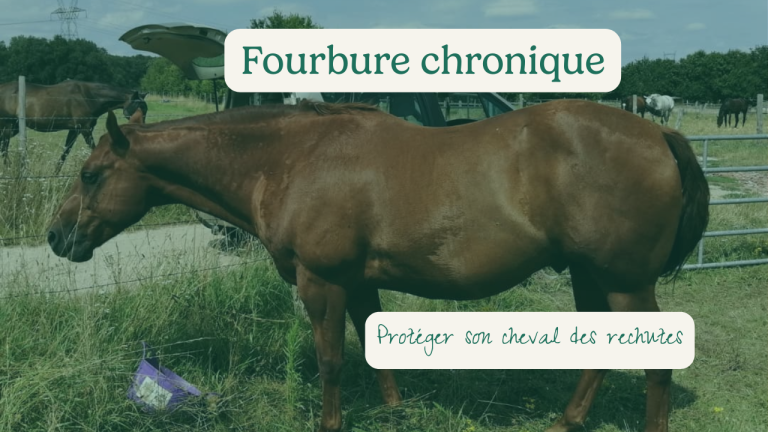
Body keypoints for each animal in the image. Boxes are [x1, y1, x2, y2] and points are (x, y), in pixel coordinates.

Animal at [0, 80, 147, 172]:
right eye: (139, 109)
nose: (143, 130)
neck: (88, 96)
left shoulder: (74, 131)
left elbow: (65, 153)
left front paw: (55, 174)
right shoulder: (85, 130)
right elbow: (93, 149)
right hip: (8, 127)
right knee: (4, 149)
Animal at [47, 100, 709, 432]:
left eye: (91, 174)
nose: (56, 237)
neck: (291, 158)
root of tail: (660, 135)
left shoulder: (322, 282)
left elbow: (333, 362)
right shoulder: (359, 283)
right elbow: (374, 350)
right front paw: (395, 413)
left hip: (624, 283)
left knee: (655, 364)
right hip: (590, 277)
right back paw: (566, 422)